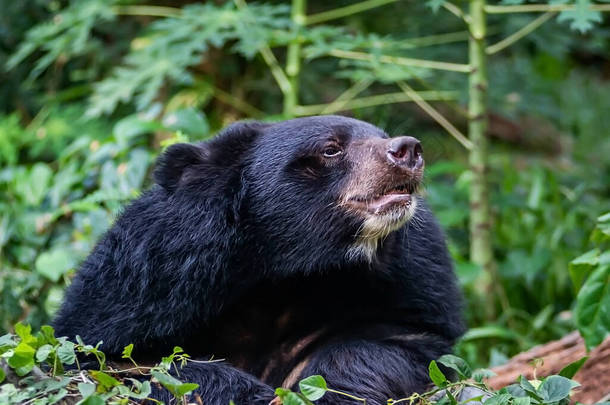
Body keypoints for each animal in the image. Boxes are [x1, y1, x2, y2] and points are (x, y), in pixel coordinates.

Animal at [53, 114, 460, 404]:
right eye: (331, 149)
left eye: (382, 134)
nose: (408, 150)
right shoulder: (146, 283)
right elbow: (122, 362)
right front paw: (249, 393)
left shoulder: (409, 285)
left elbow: (398, 342)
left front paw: (333, 392)